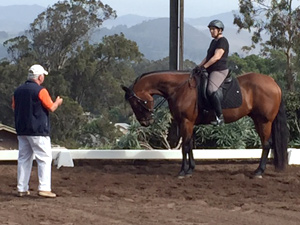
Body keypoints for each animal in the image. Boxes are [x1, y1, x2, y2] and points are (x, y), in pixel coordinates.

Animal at [121, 70, 288, 178]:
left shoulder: (186, 122)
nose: (145, 122)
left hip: (264, 121)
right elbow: (189, 145)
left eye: (135, 103)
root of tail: (273, 83)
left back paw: (259, 171)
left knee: (266, 144)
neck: (179, 88)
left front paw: (183, 172)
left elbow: (185, 147)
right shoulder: (187, 123)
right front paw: (190, 169)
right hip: (258, 120)